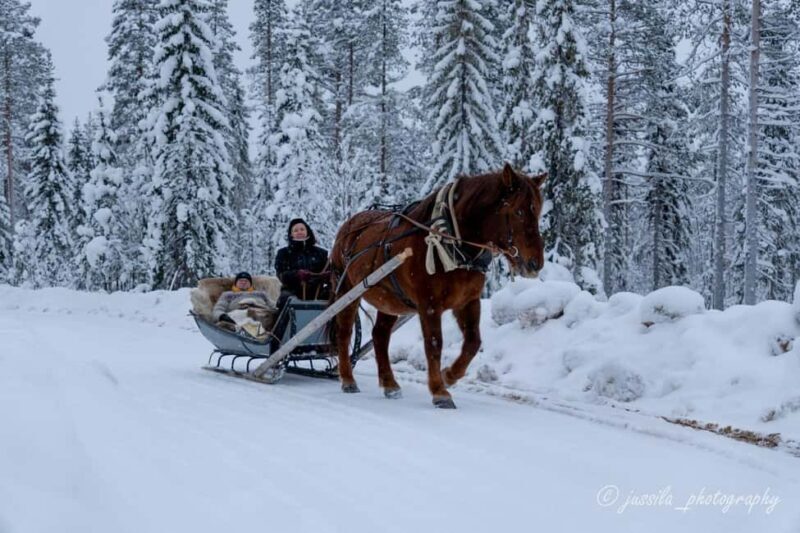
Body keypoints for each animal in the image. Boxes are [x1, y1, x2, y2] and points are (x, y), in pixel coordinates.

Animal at [329, 164, 546, 408]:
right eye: (518, 212)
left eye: (538, 211)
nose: (535, 263)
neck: (450, 241)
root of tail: (349, 225)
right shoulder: (429, 304)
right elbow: (434, 344)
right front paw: (439, 391)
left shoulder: (468, 301)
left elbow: (473, 342)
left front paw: (448, 376)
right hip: (346, 290)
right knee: (344, 332)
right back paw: (348, 379)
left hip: (391, 301)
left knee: (380, 335)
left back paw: (390, 384)